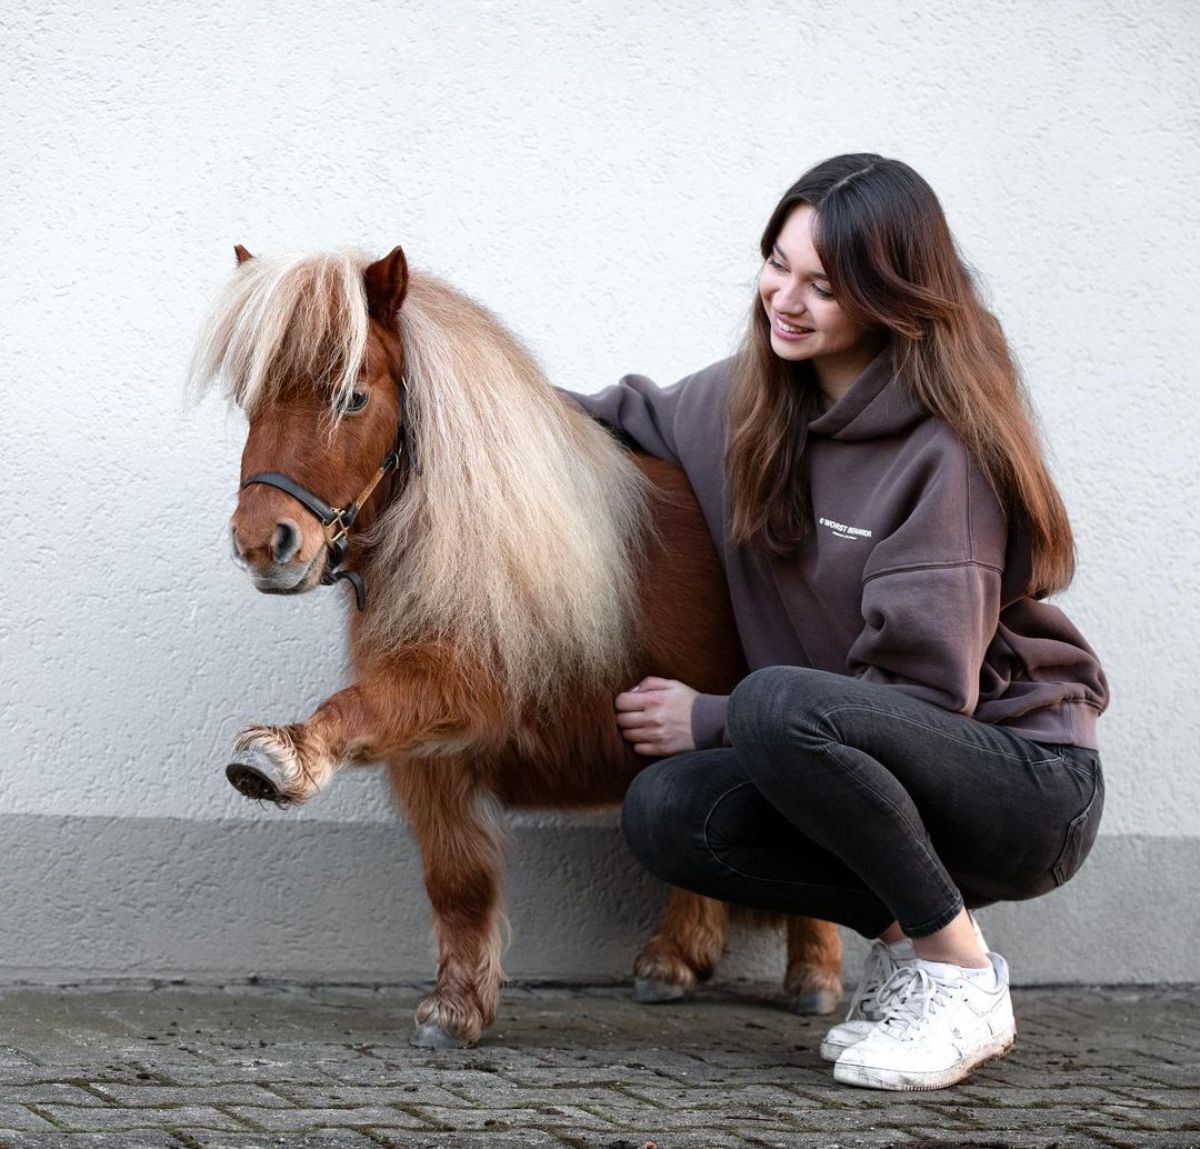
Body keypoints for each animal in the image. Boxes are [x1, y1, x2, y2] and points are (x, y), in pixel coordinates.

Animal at [189, 244, 844, 1050]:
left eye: (352, 397)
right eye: (251, 398)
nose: (263, 544)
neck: (468, 531)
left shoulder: (462, 690)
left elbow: (354, 713)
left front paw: (279, 757)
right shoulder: (427, 755)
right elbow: (457, 881)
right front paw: (458, 1010)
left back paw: (813, 976)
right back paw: (672, 959)